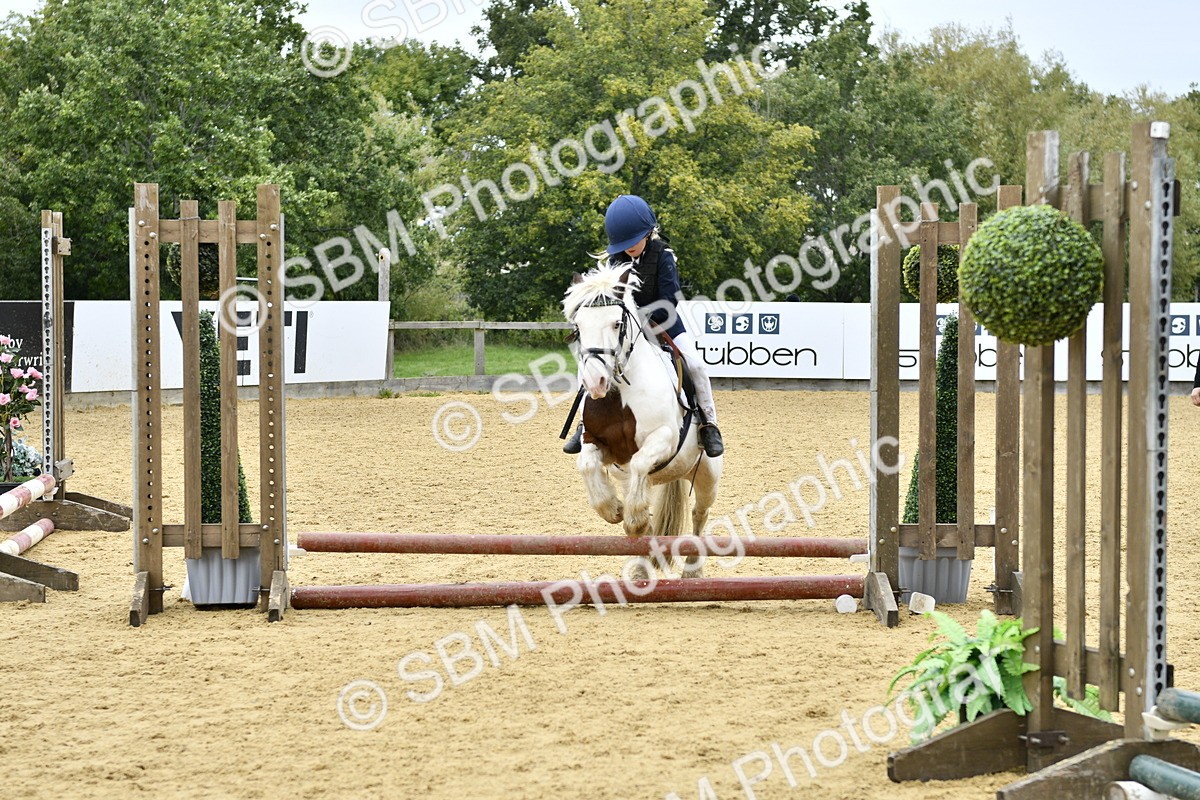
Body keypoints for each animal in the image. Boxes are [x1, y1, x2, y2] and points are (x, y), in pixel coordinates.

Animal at [562, 263, 722, 578]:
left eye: (616, 324)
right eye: (578, 327)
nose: (595, 382)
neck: (620, 393)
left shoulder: (663, 438)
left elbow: (639, 463)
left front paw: (633, 518)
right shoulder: (598, 444)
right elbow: (586, 465)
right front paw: (612, 509)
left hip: (707, 475)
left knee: (700, 514)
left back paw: (692, 570)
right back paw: (641, 568)